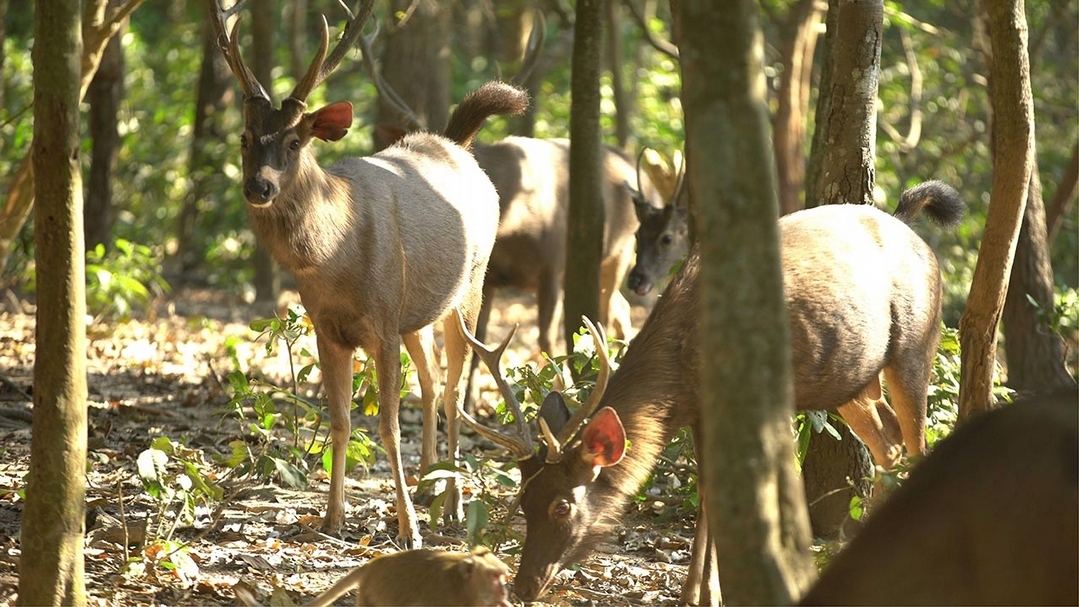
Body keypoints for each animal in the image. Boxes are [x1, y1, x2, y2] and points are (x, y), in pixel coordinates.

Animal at [207, 0, 529, 548]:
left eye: (295, 141)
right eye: (246, 137)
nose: (258, 187)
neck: (334, 255)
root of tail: (457, 145)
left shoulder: (381, 320)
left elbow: (388, 428)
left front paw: (408, 530)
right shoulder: (328, 328)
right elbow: (339, 420)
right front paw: (332, 518)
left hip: (470, 285)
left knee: (451, 390)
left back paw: (451, 504)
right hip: (415, 312)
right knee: (432, 379)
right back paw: (429, 485)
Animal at [455, 181, 964, 605]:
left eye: (562, 506)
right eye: (524, 501)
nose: (523, 586)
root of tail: (912, 226)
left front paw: (709, 595)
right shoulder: (699, 410)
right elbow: (707, 496)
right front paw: (695, 594)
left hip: (917, 343)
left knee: (916, 441)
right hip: (851, 382)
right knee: (889, 444)